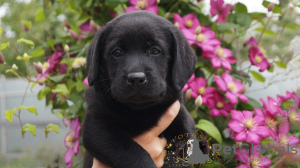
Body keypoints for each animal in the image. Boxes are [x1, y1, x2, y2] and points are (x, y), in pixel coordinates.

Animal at [82, 10, 197, 168]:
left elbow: (179, 154)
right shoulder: (98, 128)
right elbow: (135, 154)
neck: (141, 111)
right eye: (117, 52)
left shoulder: (181, 118)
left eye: (155, 50)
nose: (136, 78)